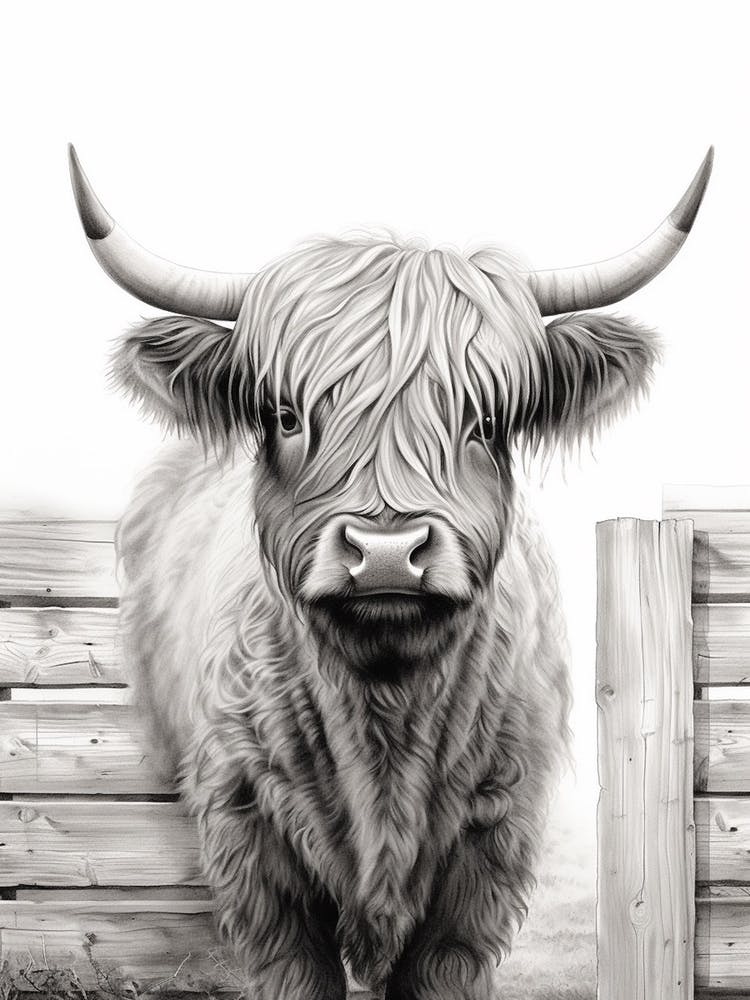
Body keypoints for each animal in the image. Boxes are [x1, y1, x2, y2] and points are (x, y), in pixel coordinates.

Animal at [69, 145, 712, 1000]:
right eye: (285, 414)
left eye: (486, 420)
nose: (384, 551)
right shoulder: (246, 827)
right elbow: (295, 970)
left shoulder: (492, 839)